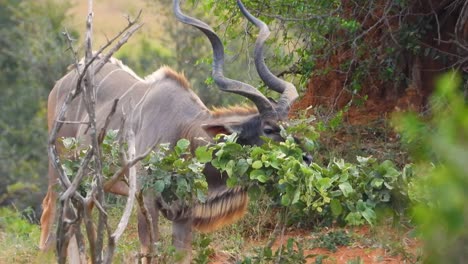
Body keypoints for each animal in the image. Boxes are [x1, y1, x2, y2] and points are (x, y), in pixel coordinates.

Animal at [39, 0, 304, 260]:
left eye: (288, 125)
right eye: (268, 128)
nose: (307, 157)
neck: (183, 130)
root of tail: (64, 81)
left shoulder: (184, 215)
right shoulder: (145, 198)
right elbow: (149, 248)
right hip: (62, 171)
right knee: (56, 216)